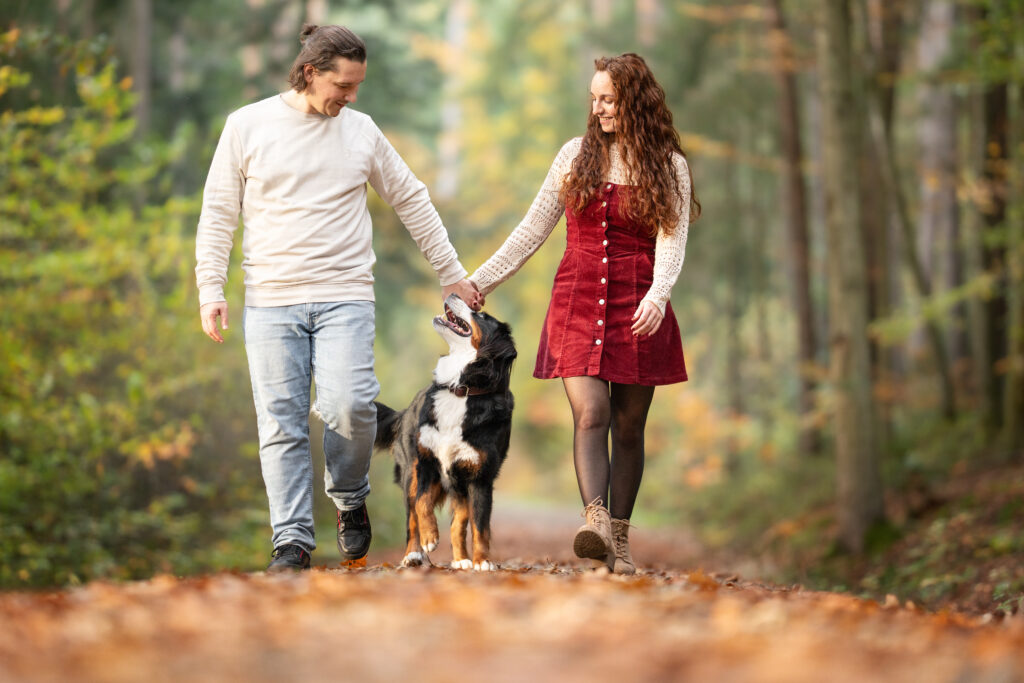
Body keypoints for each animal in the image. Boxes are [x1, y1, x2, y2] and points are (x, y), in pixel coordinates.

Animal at [374, 294, 516, 573]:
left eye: (481, 315)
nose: (453, 294)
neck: (461, 390)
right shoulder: (425, 463)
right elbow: (422, 504)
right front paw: (429, 537)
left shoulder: (480, 476)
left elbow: (480, 526)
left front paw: (482, 561)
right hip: (410, 473)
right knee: (411, 517)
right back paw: (413, 554)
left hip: (461, 484)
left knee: (458, 523)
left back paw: (461, 559)